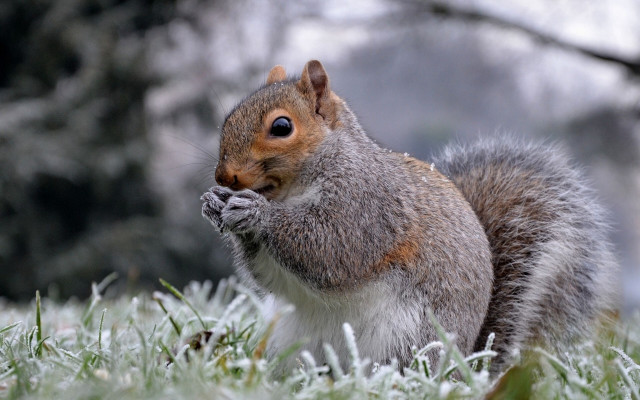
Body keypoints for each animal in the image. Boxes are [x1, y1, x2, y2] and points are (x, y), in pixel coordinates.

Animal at [200, 60, 618, 374]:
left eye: (282, 127)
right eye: (229, 118)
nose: (224, 177)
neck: (293, 189)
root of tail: (463, 367)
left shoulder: (366, 206)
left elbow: (330, 250)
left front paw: (256, 213)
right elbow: (271, 277)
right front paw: (214, 202)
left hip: (405, 339)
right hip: (290, 339)